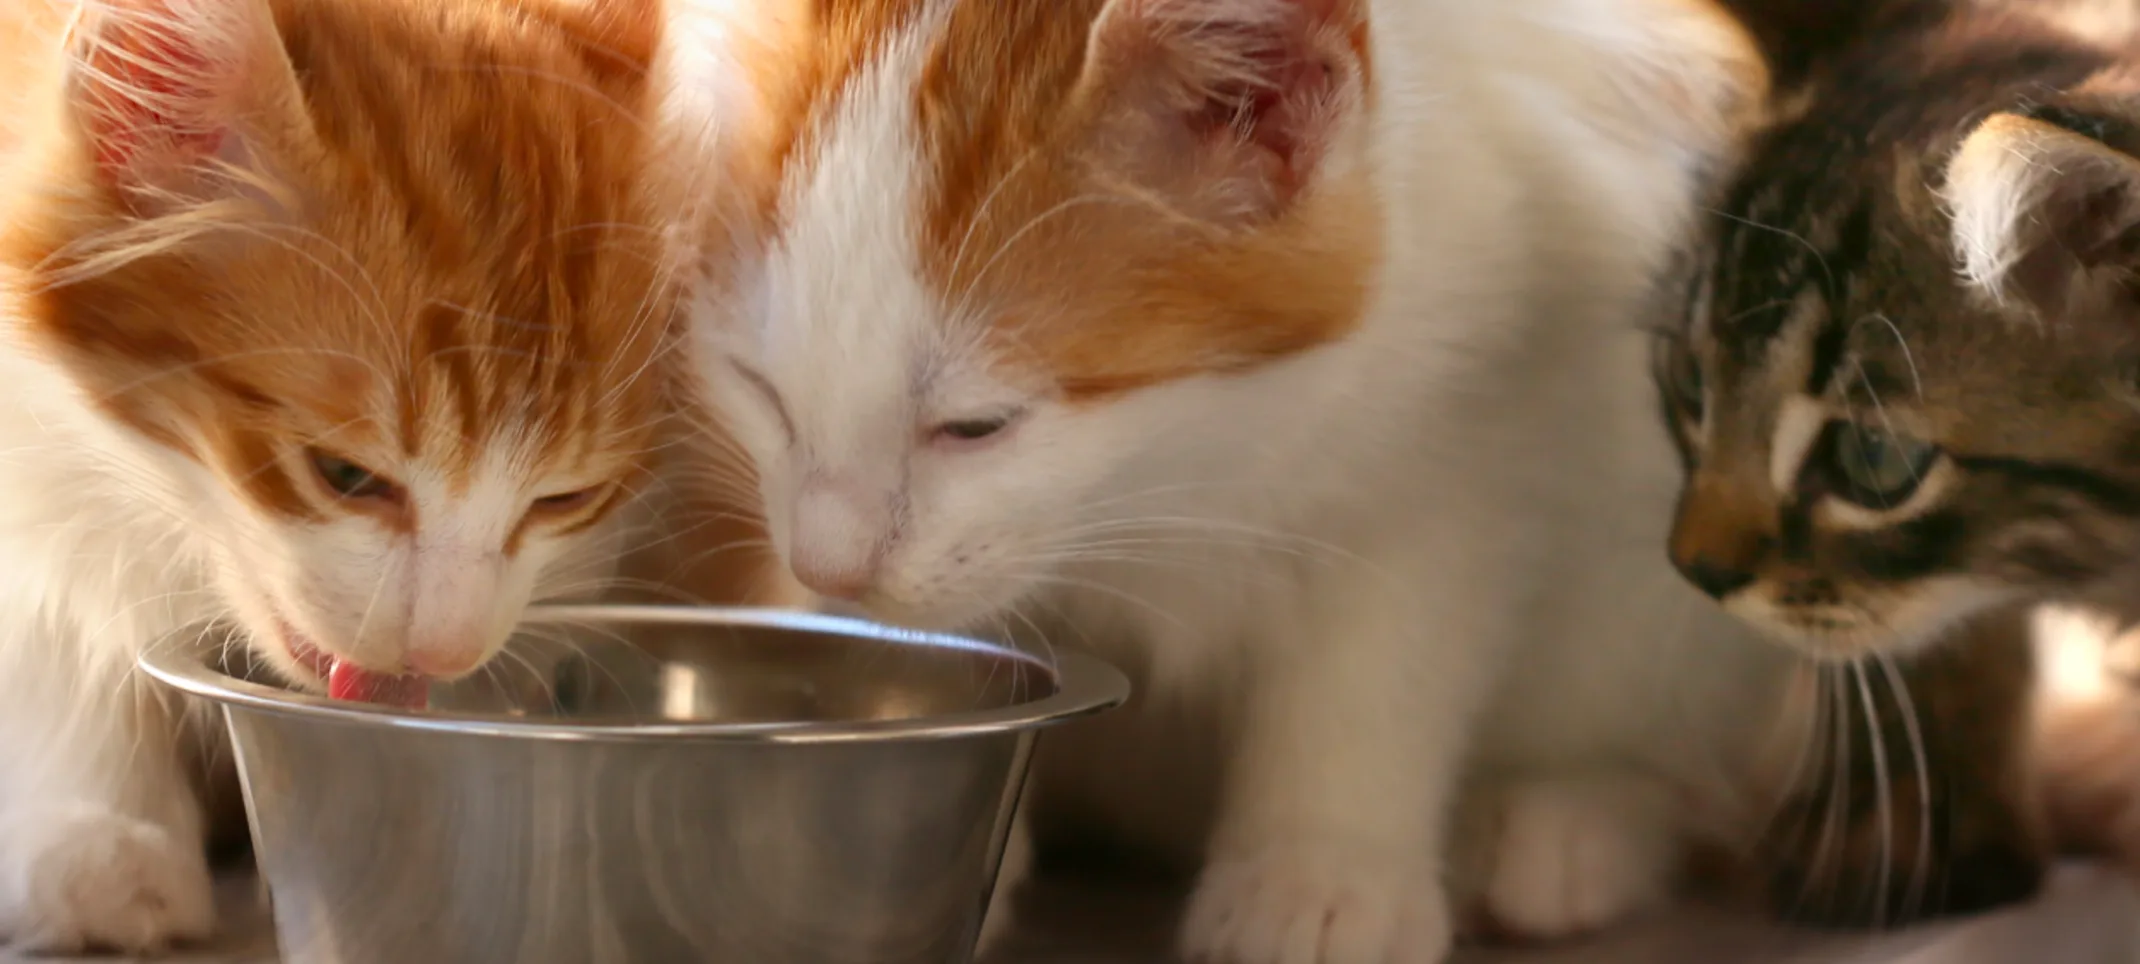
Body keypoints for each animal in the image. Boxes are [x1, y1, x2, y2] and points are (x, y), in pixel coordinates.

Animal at [667, 1, 1789, 964]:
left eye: (977, 426)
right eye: (760, 389)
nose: (831, 565)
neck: (1184, 469)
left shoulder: (1475, 412)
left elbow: (1385, 649)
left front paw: (1326, 871)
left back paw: (1561, 828)